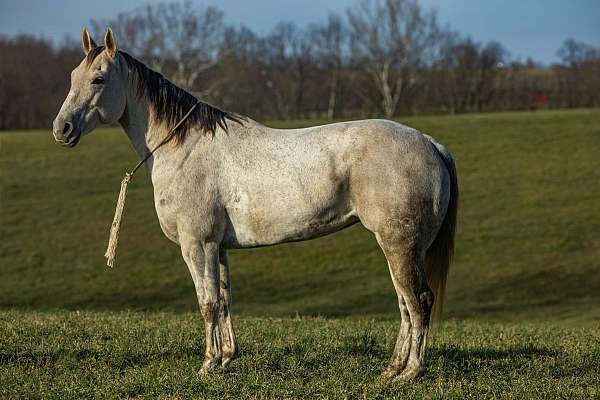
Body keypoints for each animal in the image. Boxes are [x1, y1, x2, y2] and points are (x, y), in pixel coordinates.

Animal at [52, 28, 460, 382]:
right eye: (72, 76)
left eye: (98, 79)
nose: (62, 129)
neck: (185, 148)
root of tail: (431, 143)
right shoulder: (217, 247)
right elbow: (224, 300)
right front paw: (226, 359)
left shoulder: (196, 244)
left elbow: (207, 303)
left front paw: (207, 365)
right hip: (400, 248)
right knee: (405, 303)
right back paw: (391, 369)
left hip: (400, 245)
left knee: (419, 301)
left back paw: (410, 373)